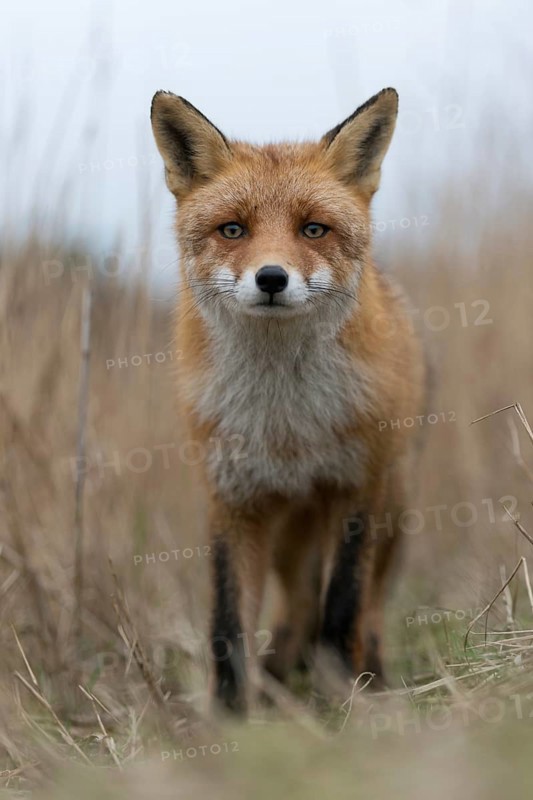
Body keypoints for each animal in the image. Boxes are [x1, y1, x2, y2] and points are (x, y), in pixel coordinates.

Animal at [150, 87, 426, 715]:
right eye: (232, 230)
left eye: (313, 229)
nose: (271, 278)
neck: (287, 421)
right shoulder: (232, 499)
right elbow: (228, 626)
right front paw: (232, 721)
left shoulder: (355, 491)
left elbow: (343, 608)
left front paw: (344, 703)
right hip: (288, 535)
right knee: (297, 606)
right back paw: (280, 681)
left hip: (392, 508)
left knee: (367, 610)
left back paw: (370, 680)